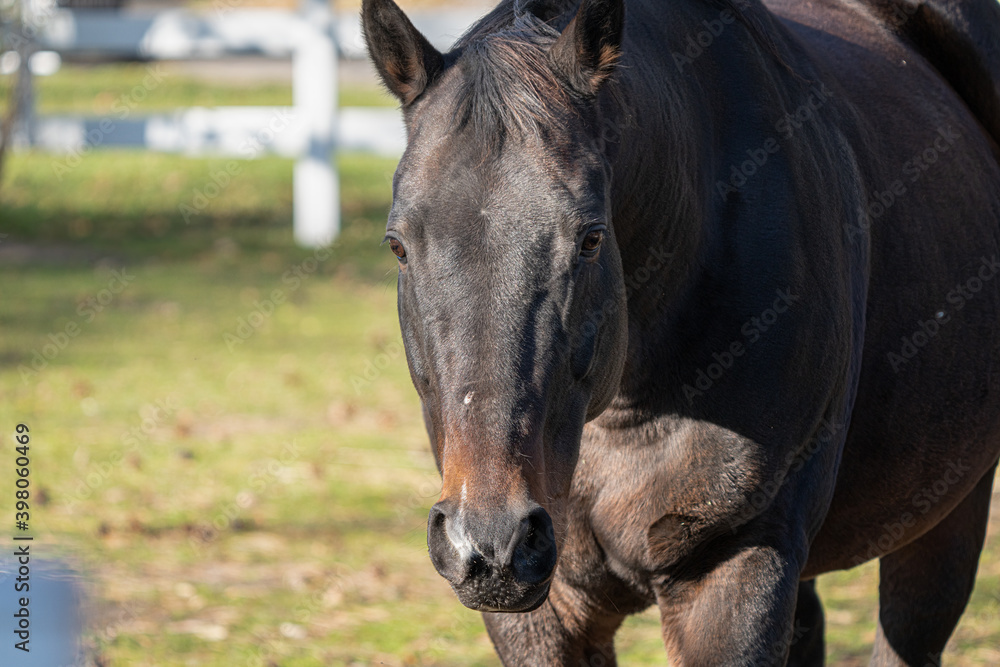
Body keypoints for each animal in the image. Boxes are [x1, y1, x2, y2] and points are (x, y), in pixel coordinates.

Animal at [361, 0, 1000, 663]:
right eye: (398, 245)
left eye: (591, 237)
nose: (488, 543)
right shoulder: (546, 612)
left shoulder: (735, 568)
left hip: (947, 513)